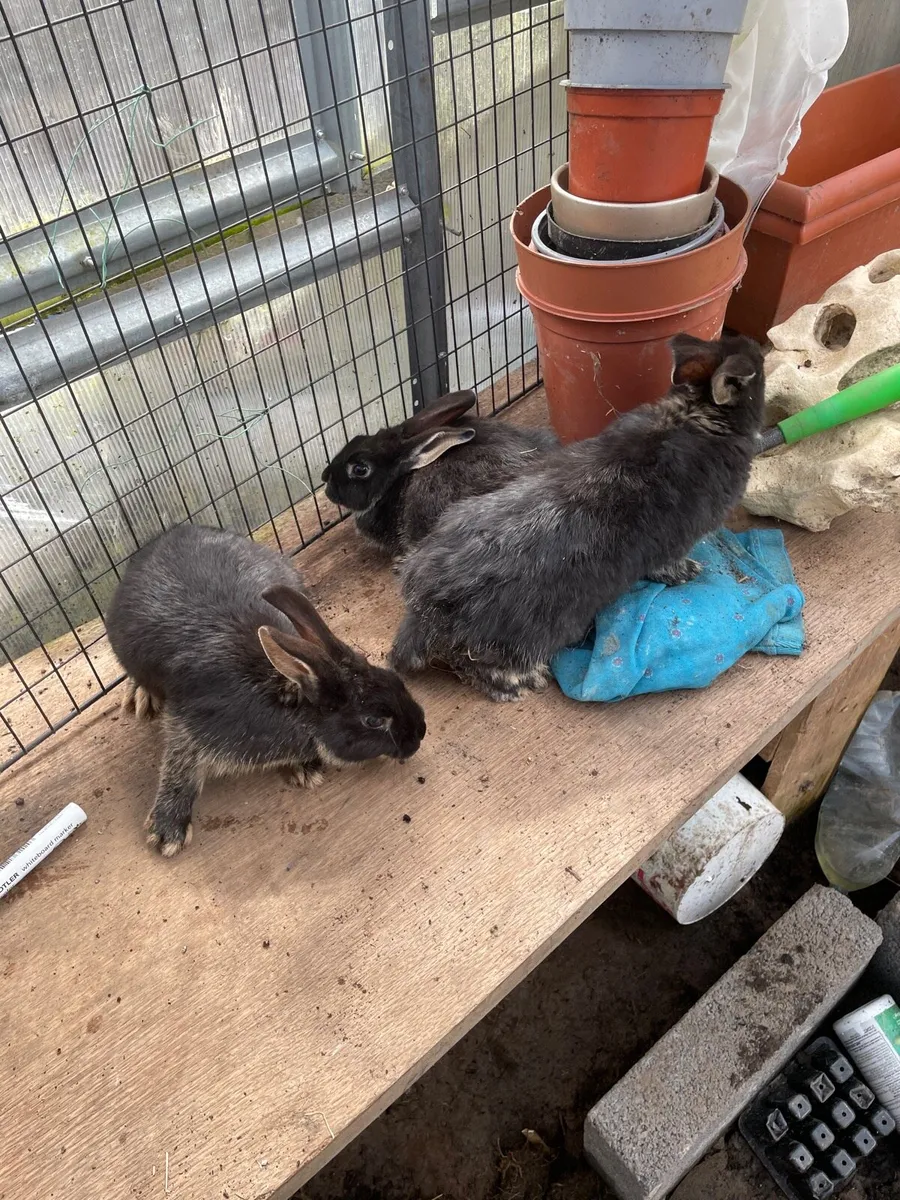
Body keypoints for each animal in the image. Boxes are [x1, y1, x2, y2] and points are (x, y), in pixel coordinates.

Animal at [106, 524, 426, 855]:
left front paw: (304, 769)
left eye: (396, 681)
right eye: (373, 720)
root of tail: (174, 532)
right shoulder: (193, 723)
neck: (287, 697)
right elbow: (180, 764)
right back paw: (141, 695)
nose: (419, 734)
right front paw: (167, 830)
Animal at [389, 333, 767, 702]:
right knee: (476, 665)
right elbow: (668, 564)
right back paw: (519, 683)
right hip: (527, 635)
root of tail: (425, 610)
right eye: (758, 368)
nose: (759, 348)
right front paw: (688, 572)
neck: (698, 415)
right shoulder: (678, 539)